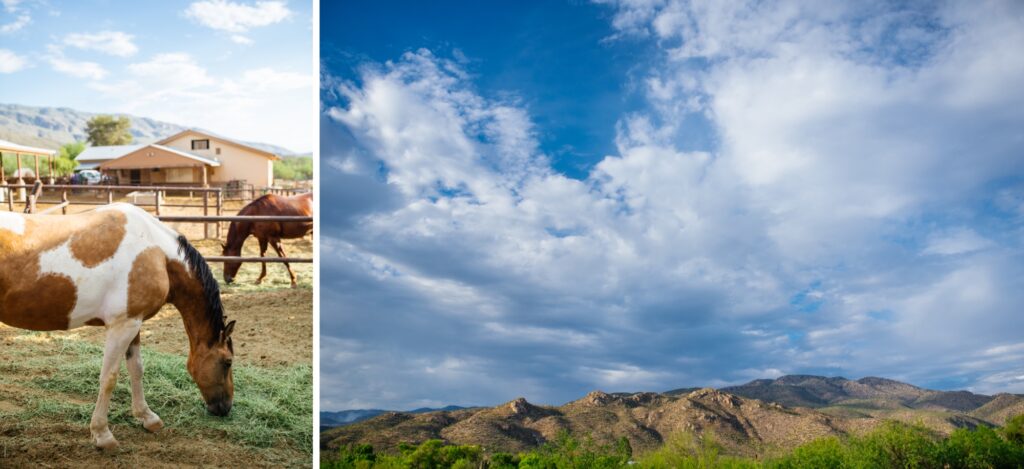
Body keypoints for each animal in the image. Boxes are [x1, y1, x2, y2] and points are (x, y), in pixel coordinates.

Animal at [0, 203, 234, 450]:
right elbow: (109, 378)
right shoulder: (122, 326)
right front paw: (102, 434)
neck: (156, 252)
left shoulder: (134, 324)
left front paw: (147, 417)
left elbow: (136, 368)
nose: (226, 407)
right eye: (228, 362)